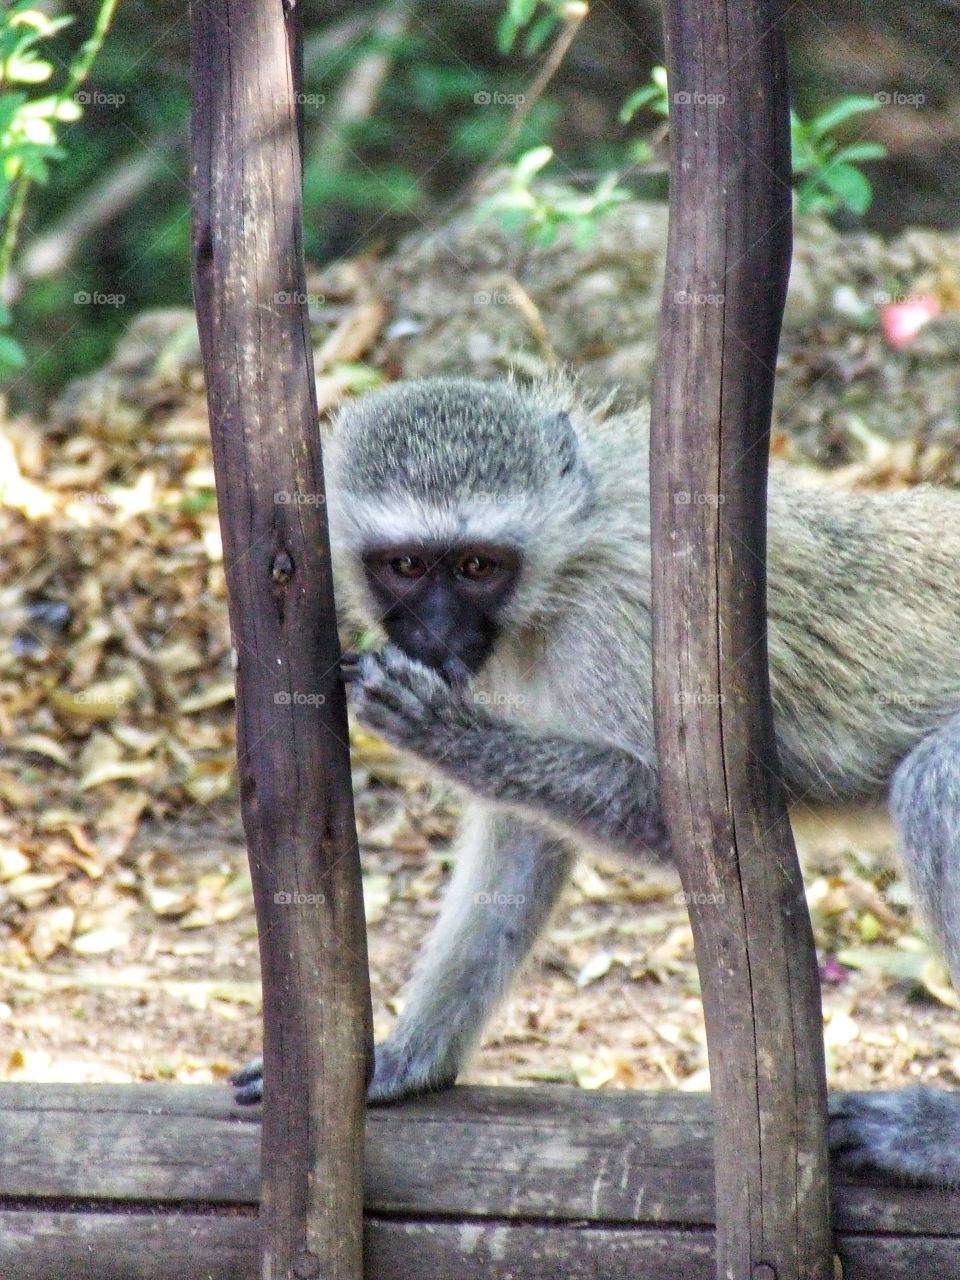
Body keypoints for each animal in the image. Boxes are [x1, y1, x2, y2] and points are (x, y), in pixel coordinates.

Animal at [232, 373, 960, 1186]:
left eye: (478, 566)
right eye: (408, 566)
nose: (438, 634)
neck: (564, 565)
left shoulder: (621, 625)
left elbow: (706, 825)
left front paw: (448, 735)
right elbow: (523, 837)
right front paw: (405, 1058)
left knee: (935, 781)